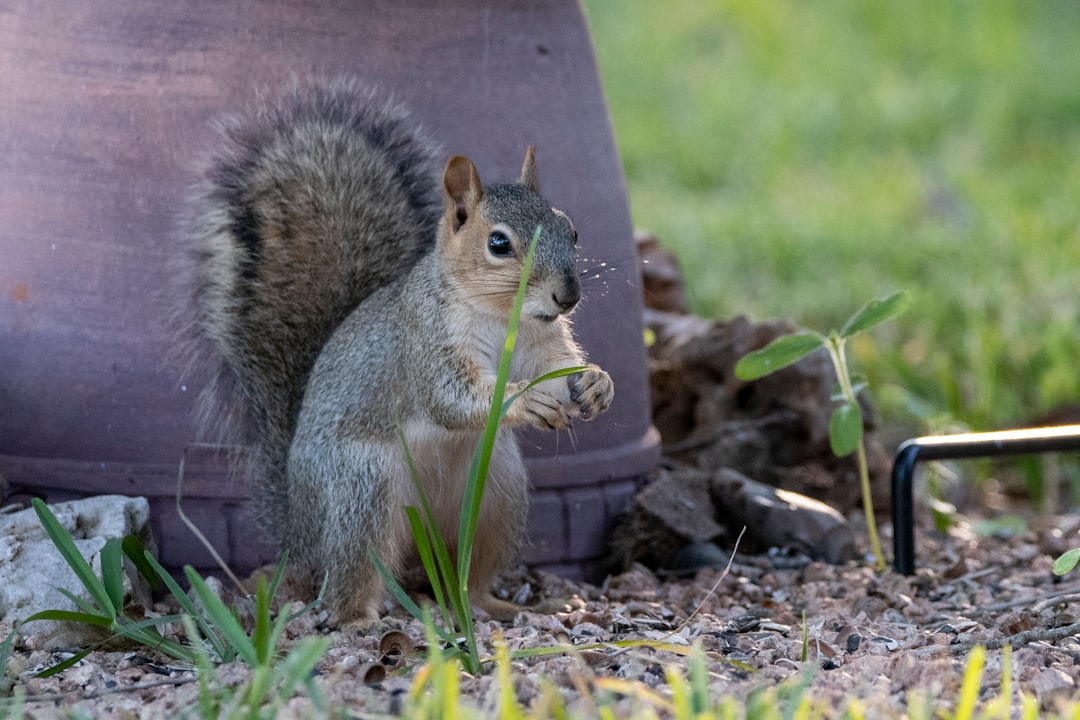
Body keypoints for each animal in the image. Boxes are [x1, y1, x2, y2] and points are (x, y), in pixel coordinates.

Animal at [177, 78, 614, 626]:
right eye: (498, 244)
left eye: (571, 230)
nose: (567, 296)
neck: (500, 316)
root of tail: (301, 528)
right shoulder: (425, 340)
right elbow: (450, 399)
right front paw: (524, 399)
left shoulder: (540, 343)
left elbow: (558, 368)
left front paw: (596, 382)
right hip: (365, 490)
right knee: (349, 576)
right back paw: (360, 619)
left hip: (498, 492)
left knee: (470, 578)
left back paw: (498, 604)